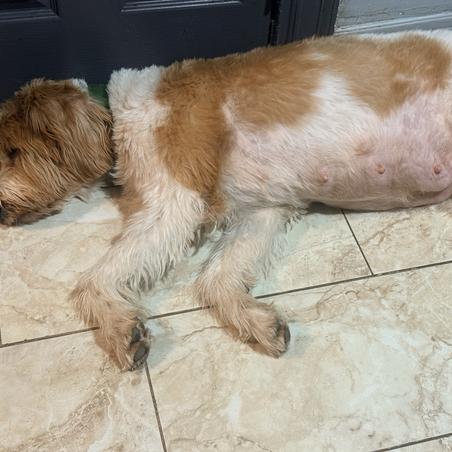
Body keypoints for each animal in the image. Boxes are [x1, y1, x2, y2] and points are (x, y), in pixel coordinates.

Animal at [1, 30, 452, 370]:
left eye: (11, 151)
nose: (2, 210)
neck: (115, 114)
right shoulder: (265, 210)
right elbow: (217, 277)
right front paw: (258, 322)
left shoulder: (174, 205)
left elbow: (95, 279)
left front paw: (118, 330)